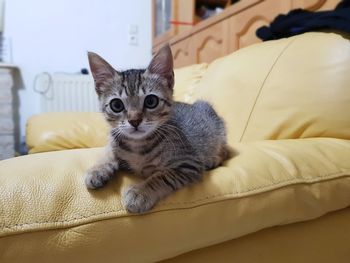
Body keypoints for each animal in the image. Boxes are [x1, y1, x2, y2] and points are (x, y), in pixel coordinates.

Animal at [83, 44, 228, 214]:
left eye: (151, 101)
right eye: (116, 105)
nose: (134, 120)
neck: (137, 147)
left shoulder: (188, 163)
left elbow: (162, 176)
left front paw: (140, 192)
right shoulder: (114, 141)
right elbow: (108, 153)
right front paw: (98, 169)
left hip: (218, 130)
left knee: (225, 151)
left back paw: (213, 160)